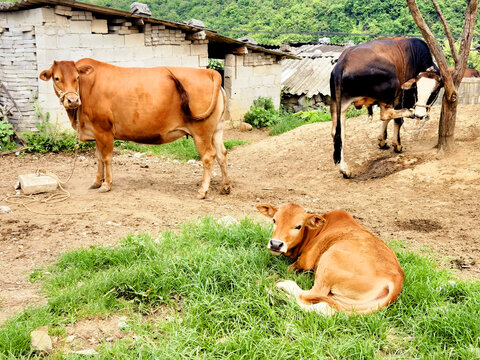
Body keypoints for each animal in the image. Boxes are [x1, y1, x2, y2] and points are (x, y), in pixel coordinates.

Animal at [39, 59, 231, 200]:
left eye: (77, 77)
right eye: (57, 78)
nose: (72, 100)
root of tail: (210, 72)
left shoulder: (104, 131)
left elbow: (106, 158)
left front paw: (106, 185)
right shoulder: (95, 132)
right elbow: (98, 157)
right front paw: (96, 182)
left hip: (201, 132)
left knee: (209, 156)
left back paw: (202, 191)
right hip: (216, 130)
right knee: (222, 153)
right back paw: (225, 187)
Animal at [256, 202, 404, 316]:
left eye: (298, 226)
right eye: (274, 220)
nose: (276, 244)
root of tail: (396, 279)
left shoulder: (306, 260)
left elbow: (291, 268)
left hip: (329, 261)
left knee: (307, 295)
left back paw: (281, 287)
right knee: (324, 307)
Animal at [330, 37, 442, 178]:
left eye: (435, 91)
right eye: (416, 88)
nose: (419, 115)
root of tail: (342, 63)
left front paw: (382, 140)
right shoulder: (399, 95)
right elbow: (396, 120)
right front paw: (397, 145)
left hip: (339, 104)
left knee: (338, 133)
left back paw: (344, 169)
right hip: (391, 86)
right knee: (385, 114)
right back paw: (408, 112)